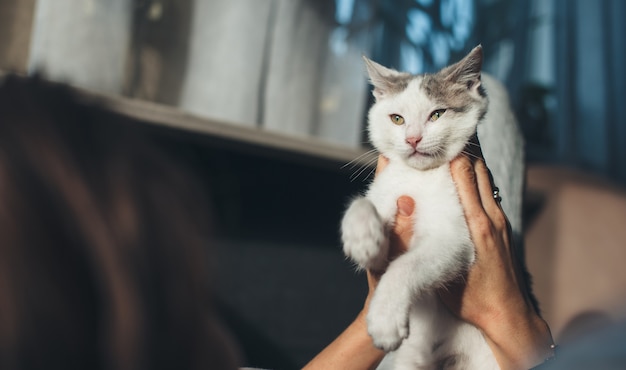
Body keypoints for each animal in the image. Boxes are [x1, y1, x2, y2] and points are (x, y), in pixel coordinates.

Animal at [338, 46, 504, 370]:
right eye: (397, 119)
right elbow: (364, 205)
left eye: (437, 114)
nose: (412, 139)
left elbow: (406, 264)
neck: (419, 177)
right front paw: (362, 238)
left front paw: (385, 318)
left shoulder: (455, 239)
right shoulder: (389, 188)